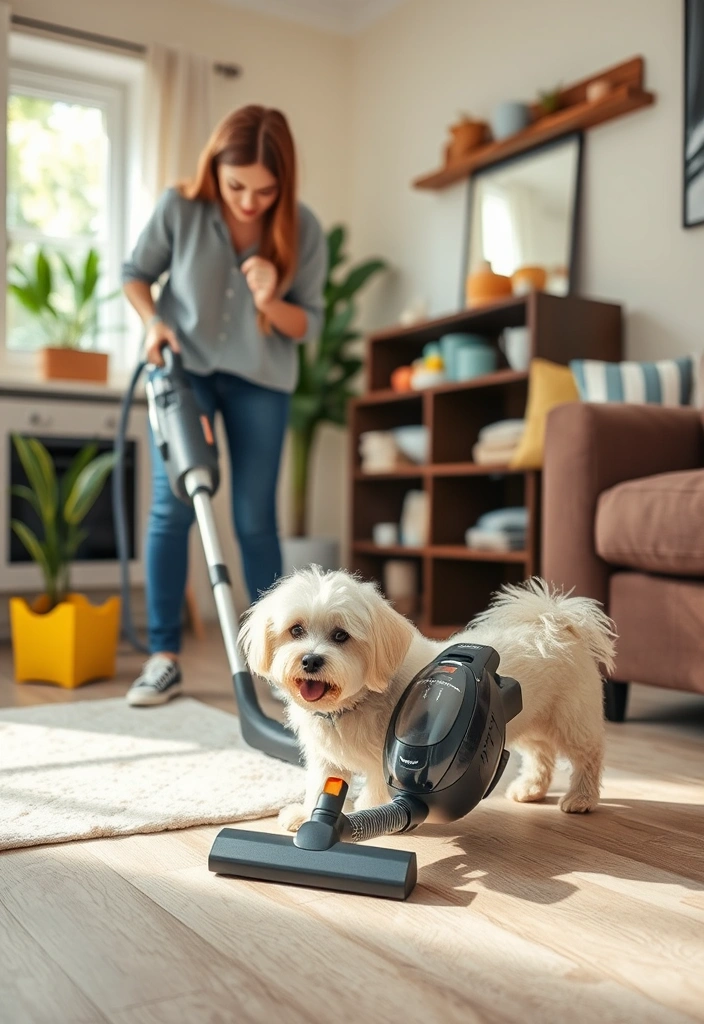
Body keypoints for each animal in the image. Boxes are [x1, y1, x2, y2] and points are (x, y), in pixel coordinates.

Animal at [239, 569, 613, 831]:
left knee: (588, 755)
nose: (311, 660)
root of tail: (557, 622)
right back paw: (531, 789)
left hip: (571, 718)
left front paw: (368, 814)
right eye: (296, 630)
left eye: (341, 636)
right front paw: (306, 815)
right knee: (540, 754)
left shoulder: (385, 758)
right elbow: (320, 785)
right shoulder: (325, 759)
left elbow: (377, 788)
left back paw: (581, 798)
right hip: (526, 721)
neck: (355, 702)